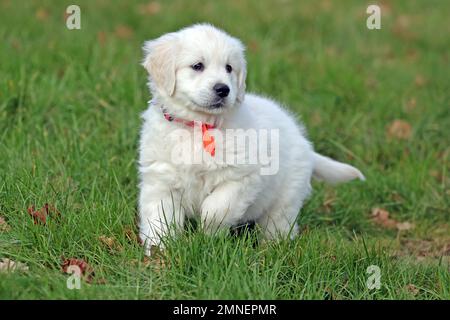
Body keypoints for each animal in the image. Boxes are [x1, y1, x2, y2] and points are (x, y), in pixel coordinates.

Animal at [136, 23, 362, 255]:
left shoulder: (242, 178)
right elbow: (159, 217)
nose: (223, 89)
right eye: (197, 66)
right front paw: (159, 249)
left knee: (278, 223)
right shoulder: (161, 180)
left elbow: (215, 208)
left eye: (229, 68)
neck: (199, 126)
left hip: (285, 197)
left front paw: (208, 234)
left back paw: (272, 248)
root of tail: (305, 144)